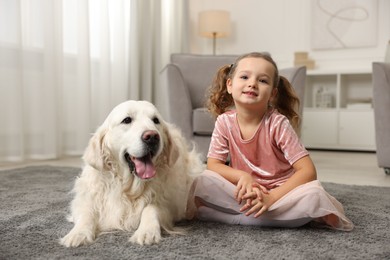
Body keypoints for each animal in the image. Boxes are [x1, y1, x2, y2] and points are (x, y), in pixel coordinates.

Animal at [61, 100, 204, 247]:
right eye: (127, 120)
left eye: (155, 120)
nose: (152, 136)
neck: (129, 189)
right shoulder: (85, 200)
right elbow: (86, 213)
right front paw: (78, 234)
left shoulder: (170, 206)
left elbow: (151, 208)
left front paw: (147, 232)